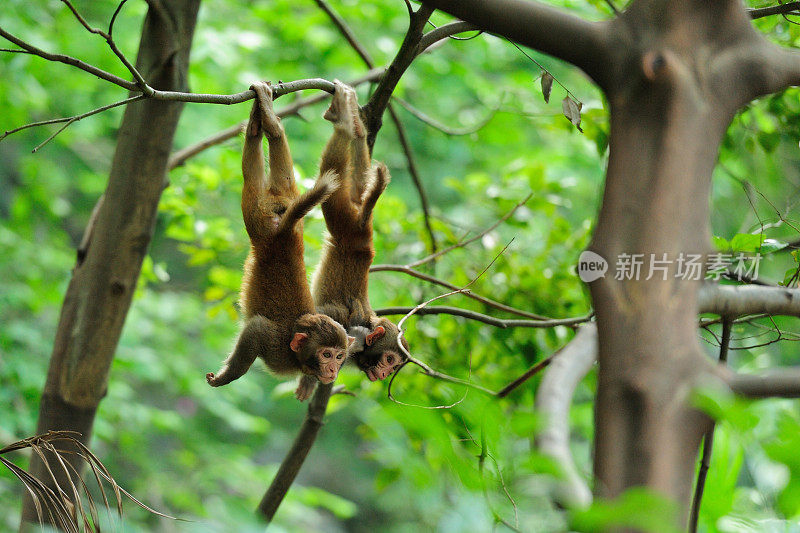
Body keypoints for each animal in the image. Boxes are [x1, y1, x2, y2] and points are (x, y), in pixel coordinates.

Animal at [206, 82, 354, 400]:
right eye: (326, 354)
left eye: (339, 356)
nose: (333, 370)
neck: (297, 354)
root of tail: (282, 234)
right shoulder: (275, 346)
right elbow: (256, 328)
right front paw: (226, 377)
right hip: (259, 217)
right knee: (251, 181)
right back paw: (266, 123)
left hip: (288, 200)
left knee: (276, 164)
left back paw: (263, 123)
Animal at [312, 82, 410, 382]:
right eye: (389, 359)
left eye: (394, 367)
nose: (384, 374)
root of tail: (364, 238)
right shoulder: (346, 331)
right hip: (347, 227)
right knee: (333, 183)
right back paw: (345, 124)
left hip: (353, 217)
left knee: (356, 188)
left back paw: (357, 128)